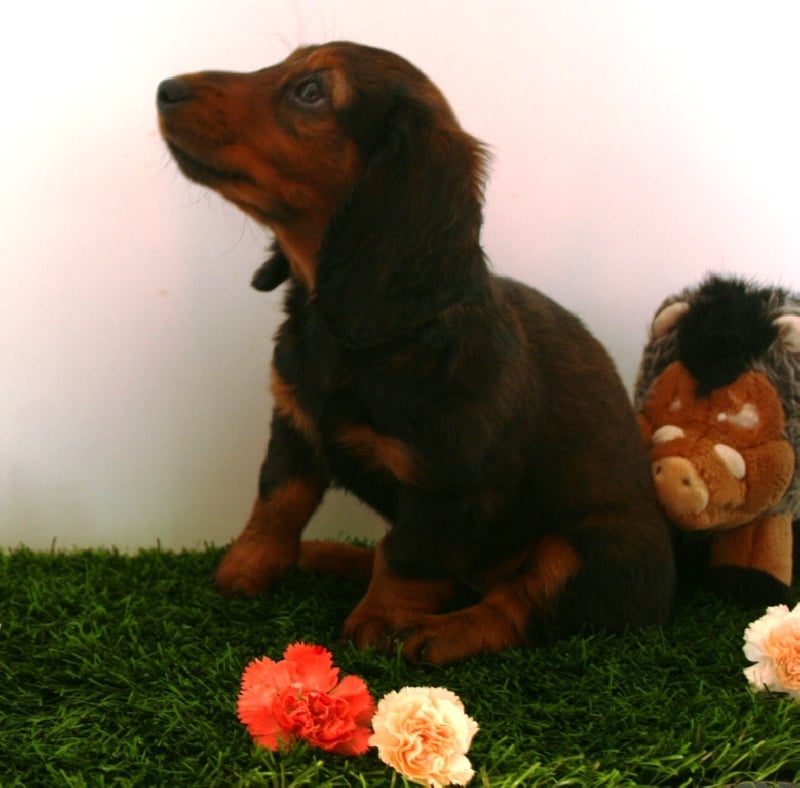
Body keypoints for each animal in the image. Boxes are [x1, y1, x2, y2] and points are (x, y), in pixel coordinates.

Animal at [157, 41, 675, 664]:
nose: (164, 89)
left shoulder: (446, 486)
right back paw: (329, 554)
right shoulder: (294, 424)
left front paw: (379, 624)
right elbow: (277, 500)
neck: (361, 330)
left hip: (591, 547)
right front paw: (247, 568)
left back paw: (440, 632)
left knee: (515, 602)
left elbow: (408, 555)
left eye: (311, 91)